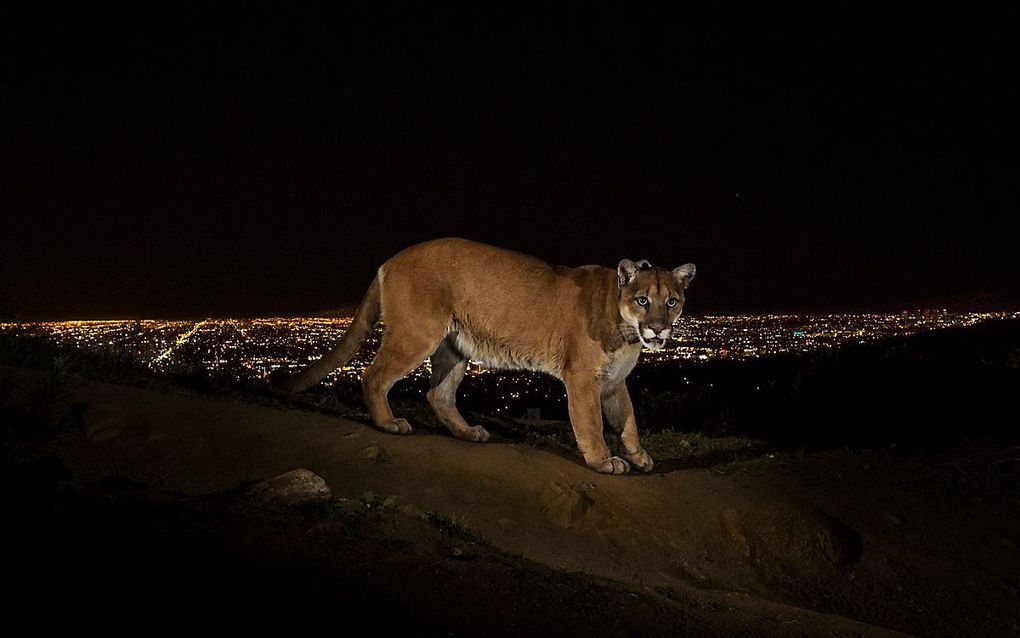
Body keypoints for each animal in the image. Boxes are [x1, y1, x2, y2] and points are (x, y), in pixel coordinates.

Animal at [277, 238, 693, 473]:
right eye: (643, 300)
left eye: (671, 302)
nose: (658, 329)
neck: (626, 329)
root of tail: (390, 259)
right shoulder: (583, 378)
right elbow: (591, 423)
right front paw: (603, 460)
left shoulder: (613, 380)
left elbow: (628, 419)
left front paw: (639, 456)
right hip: (416, 333)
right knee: (374, 375)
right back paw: (389, 423)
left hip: (455, 346)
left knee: (438, 393)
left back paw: (467, 432)